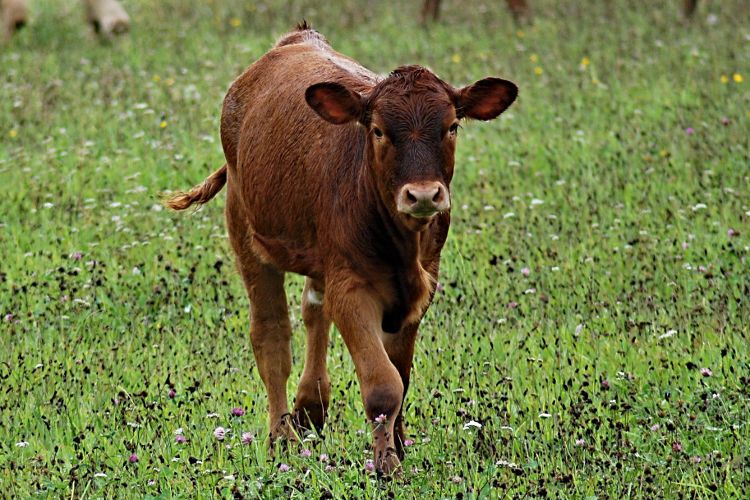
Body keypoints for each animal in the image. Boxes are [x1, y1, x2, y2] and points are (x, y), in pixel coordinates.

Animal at [168, 24, 516, 476]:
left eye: (452, 126)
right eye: (379, 130)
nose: (423, 194)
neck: (401, 246)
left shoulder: (422, 286)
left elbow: (401, 374)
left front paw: (398, 445)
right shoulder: (352, 288)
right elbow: (383, 384)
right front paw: (387, 465)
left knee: (313, 309)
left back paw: (310, 407)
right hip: (245, 230)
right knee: (271, 336)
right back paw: (281, 437)